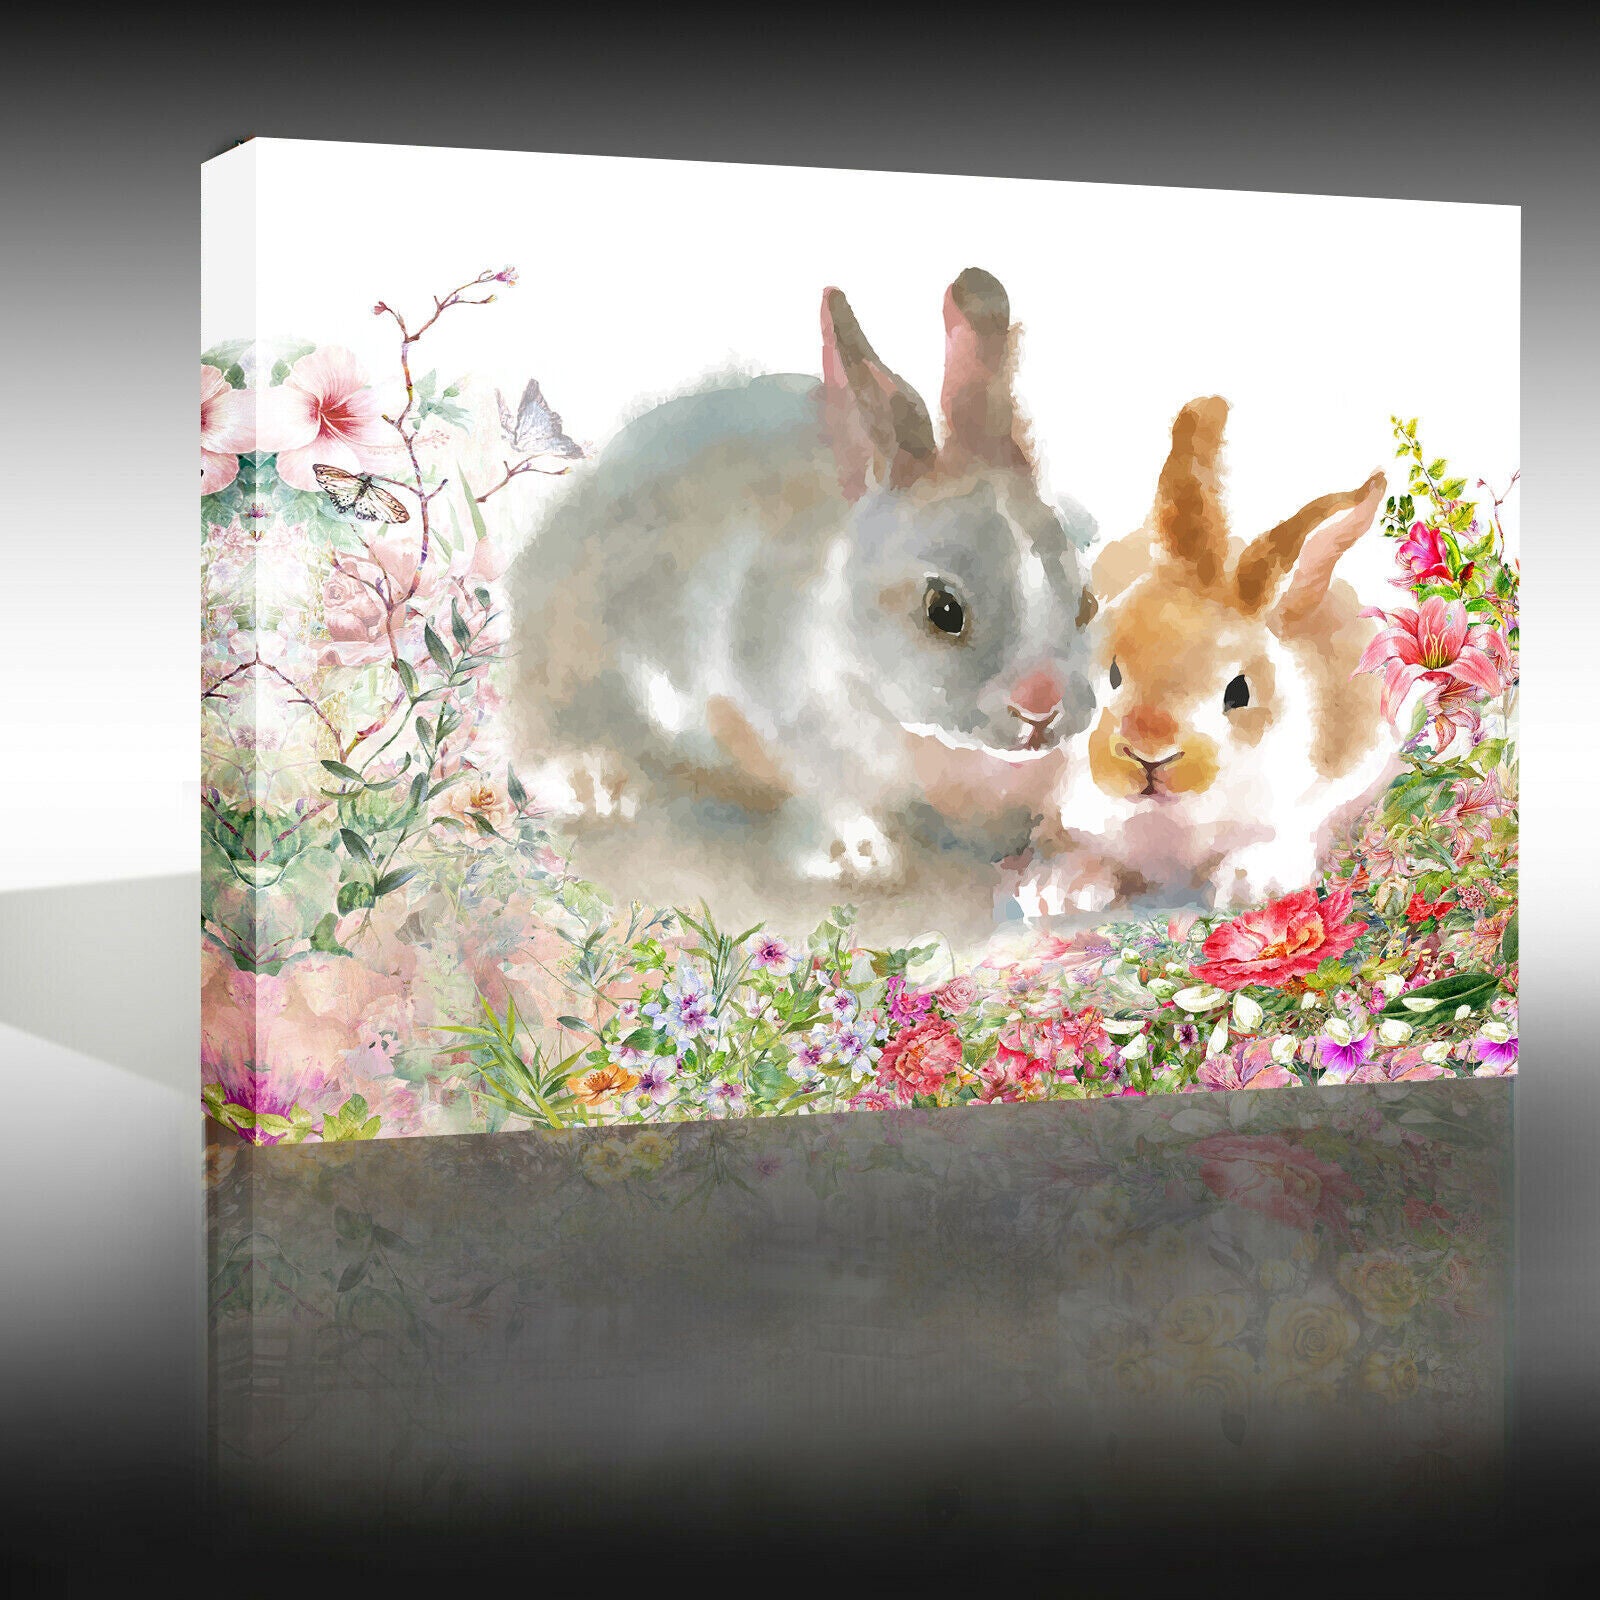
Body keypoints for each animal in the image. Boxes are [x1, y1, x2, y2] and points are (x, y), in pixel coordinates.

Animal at [507, 268, 1097, 894]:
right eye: (943, 611)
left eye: (1086, 601)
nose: (1042, 709)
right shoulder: (781, 720)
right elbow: (830, 791)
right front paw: (855, 857)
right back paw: (591, 782)